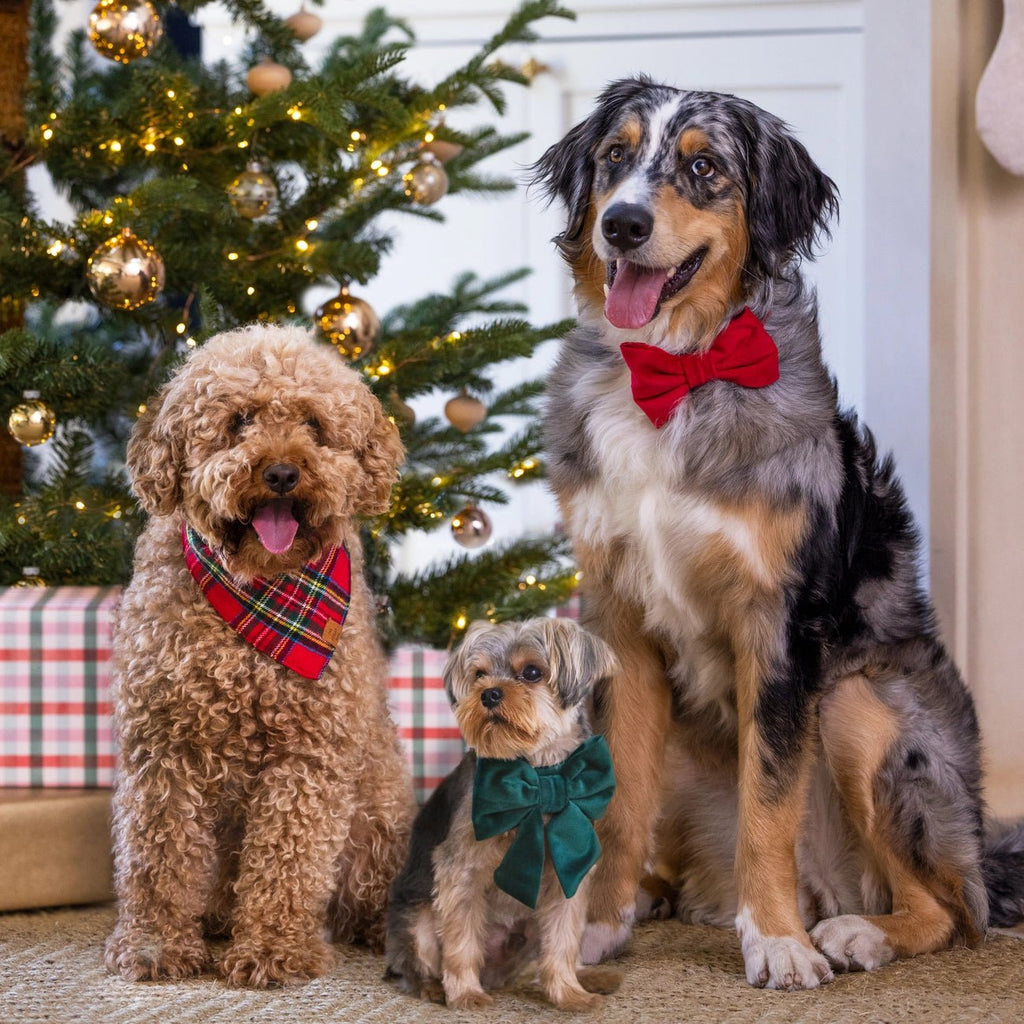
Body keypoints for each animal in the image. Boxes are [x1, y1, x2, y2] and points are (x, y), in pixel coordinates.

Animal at [104, 323, 415, 987]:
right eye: (239, 420)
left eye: (315, 425)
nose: (281, 473)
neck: (261, 590)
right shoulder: (162, 746)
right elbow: (157, 857)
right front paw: (155, 945)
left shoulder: (308, 754)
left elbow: (285, 862)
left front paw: (273, 951)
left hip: (379, 811)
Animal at [385, 614, 618, 1007]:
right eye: (479, 674)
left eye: (532, 672)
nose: (489, 693)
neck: (538, 774)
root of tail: (495, 974)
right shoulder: (460, 868)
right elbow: (461, 939)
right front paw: (466, 994)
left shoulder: (568, 872)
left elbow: (564, 940)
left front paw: (570, 994)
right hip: (417, 917)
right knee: (416, 962)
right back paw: (435, 987)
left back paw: (589, 976)